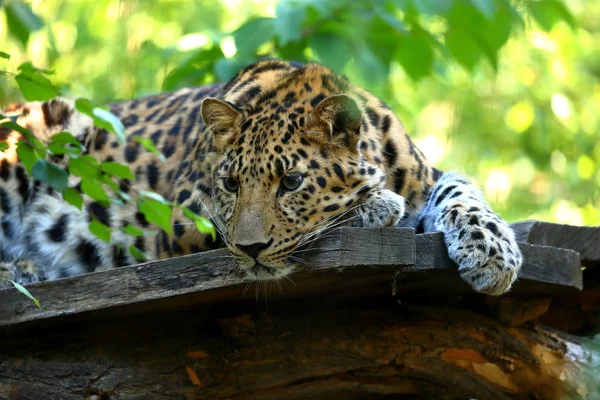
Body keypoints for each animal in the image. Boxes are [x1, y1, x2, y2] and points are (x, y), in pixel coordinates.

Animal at [0, 60, 524, 296]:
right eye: (231, 185)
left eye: (290, 183)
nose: (252, 251)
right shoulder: (182, 222)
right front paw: (376, 205)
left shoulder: (427, 174)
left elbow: (461, 191)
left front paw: (492, 252)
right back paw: (21, 269)